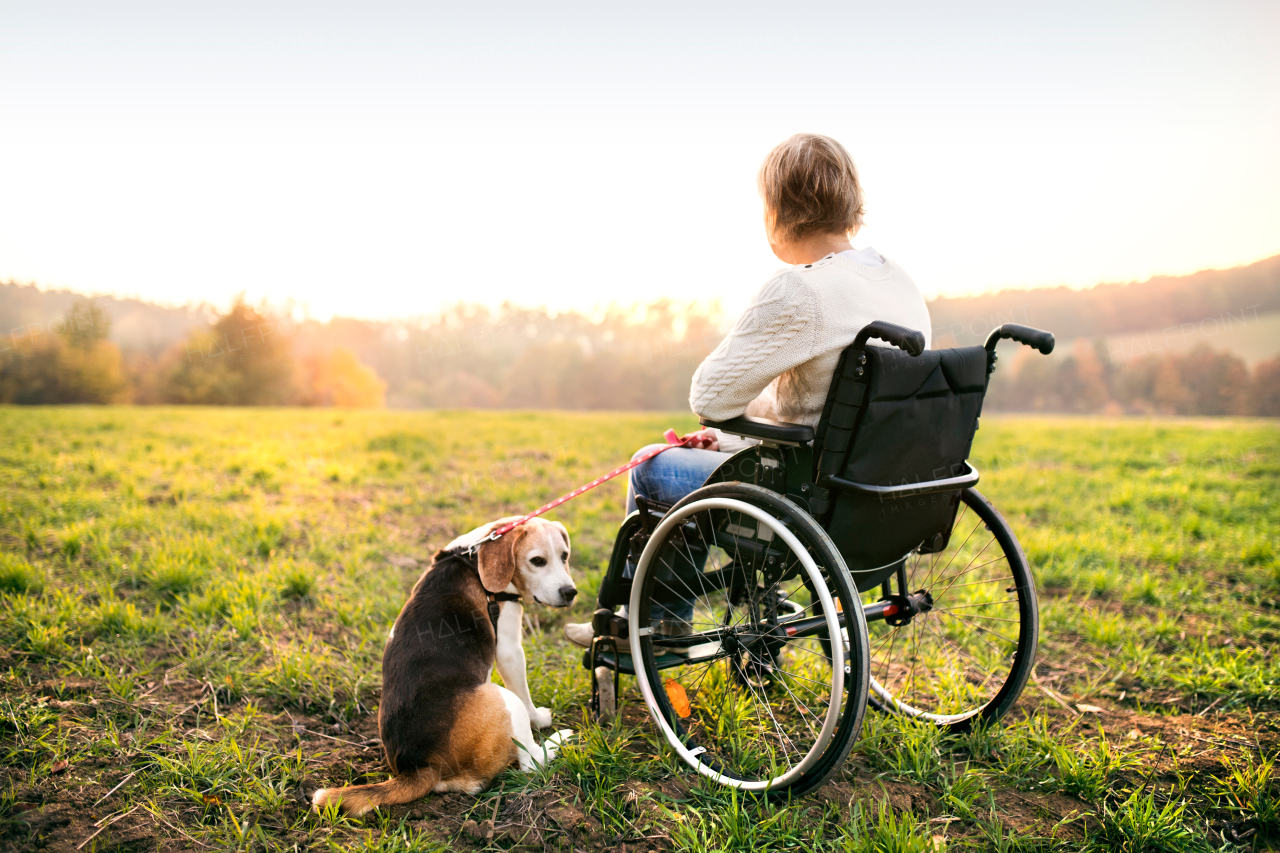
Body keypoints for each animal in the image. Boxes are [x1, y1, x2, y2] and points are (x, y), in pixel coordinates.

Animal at [309, 514, 576, 814]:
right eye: (537, 561)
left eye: (564, 556)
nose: (570, 592)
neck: (474, 556)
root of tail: (422, 767)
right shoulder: (509, 648)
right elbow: (525, 695)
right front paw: (540, 720)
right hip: (505, 700)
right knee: (532, 762)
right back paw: (557, 742)